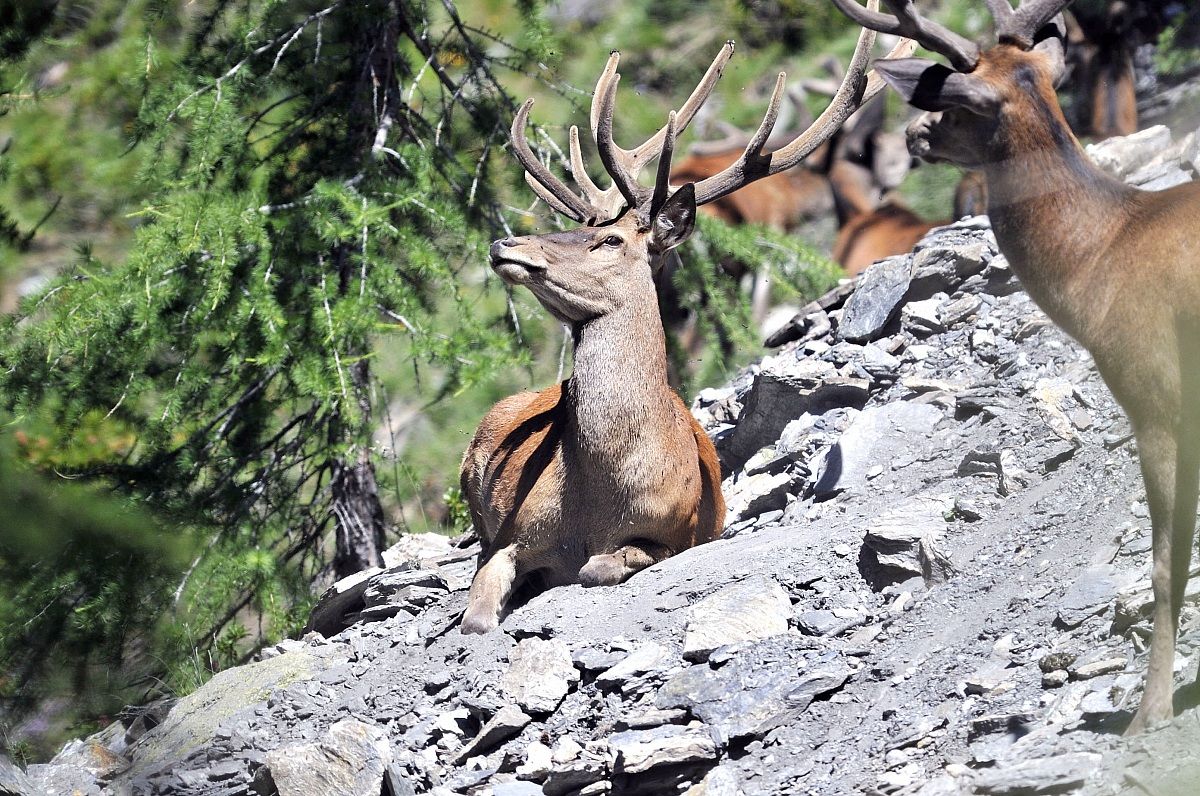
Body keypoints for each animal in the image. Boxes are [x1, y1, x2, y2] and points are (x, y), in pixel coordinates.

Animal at [460, 12, 910, 634]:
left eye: (609, 240)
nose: (506, 243)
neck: (597, 496)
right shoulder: (513, 536)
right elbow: (478, 613)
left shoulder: (676, 532)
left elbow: (599, 567)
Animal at [830, 0, 1200, 734]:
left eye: (949, 102)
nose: (913, 133)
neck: (1097, 264)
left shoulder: (1155, 391)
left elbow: (1167, 559)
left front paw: (1149, 712)